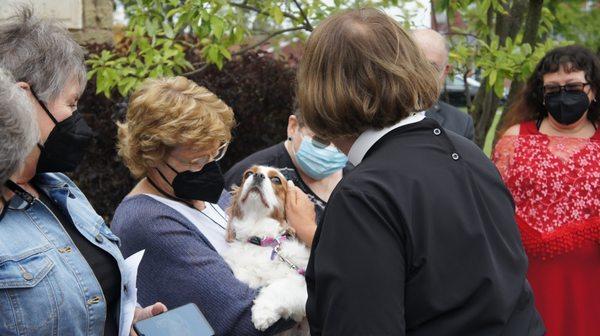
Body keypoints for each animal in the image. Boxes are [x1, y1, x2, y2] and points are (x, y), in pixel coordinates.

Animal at [223, 165, 312, 334]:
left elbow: (280, 287)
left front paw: (262, 313)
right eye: (248, 174)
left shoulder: (303, 279)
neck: (262, 240)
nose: (258, 175)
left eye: (276, 179)